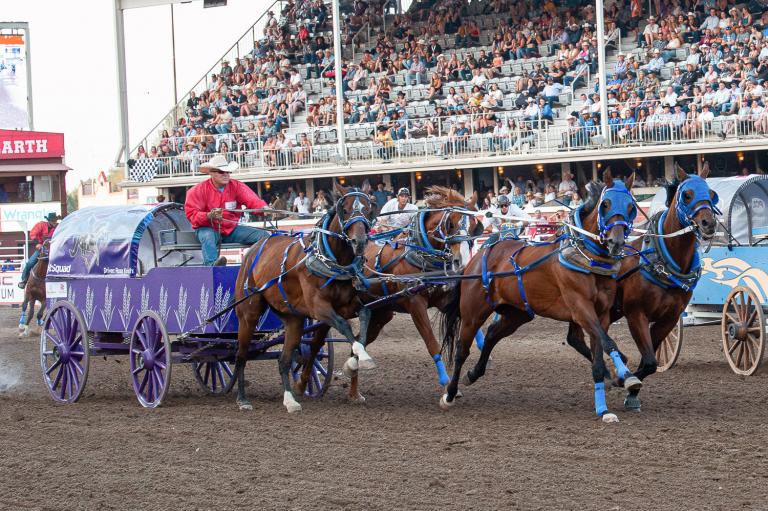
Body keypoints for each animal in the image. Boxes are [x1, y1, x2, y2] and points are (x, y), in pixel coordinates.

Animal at [234, 180, 378, 412]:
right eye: (345, 210)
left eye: (367, 209)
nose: (359, 242)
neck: (330, 259)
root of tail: (253, 250)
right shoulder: (319, 307)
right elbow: (344, 326)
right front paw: (361, 357)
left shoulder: (347, 305)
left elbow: (364, 319)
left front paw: (356, 360)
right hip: (248, 314)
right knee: (241, 354)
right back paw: (242, 399)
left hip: (293, 319)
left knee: (284, 360)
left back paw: (290, 400)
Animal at [342, 185, 480, 404]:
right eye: (450, 223)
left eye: (475, 225)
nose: (463, 262)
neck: (421, 255)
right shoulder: (415, 305)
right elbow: (432, 344)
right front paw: (446, 386)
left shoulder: (442, 299)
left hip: (380, 315)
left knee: (358, 343)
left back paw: (354, 391)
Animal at [440, 170, 640, 422]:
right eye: (606, 204)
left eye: (631, 206)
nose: (616, 242)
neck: (586, 257)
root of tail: (477, 256)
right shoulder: (581, 308)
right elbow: (608, 342)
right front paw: (625, 376)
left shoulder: (601, 314)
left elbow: (600, 350)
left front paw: (604, 406)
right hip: (472, 314)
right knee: (461, 350)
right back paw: (450, 393)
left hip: (516, 313)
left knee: (493, 334)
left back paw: (474, 373)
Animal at [564, 164, 720, 412]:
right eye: (687, 195)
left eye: (712, 194)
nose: (708, 224)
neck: (662, 259)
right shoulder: (636, 314)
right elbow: (648, 360)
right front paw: (626, 382)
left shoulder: (669, 318)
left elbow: (651, 362)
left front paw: (631, 388)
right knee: (578, 338)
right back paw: (612, 369)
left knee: (579, 337)